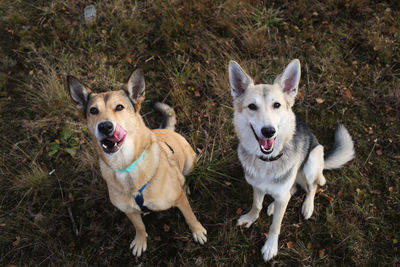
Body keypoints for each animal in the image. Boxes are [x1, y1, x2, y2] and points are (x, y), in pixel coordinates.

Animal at [67, 69, 206, 258]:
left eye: (119, 107)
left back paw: (185, 185)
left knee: (186, 178)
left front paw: (197, 231)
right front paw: (140, 241)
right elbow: (139, 226)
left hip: (190, 161)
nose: (105, 127)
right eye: (93, 110)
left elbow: (190, 216)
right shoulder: (129, 211)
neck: (126, 166)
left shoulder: (179, 200)